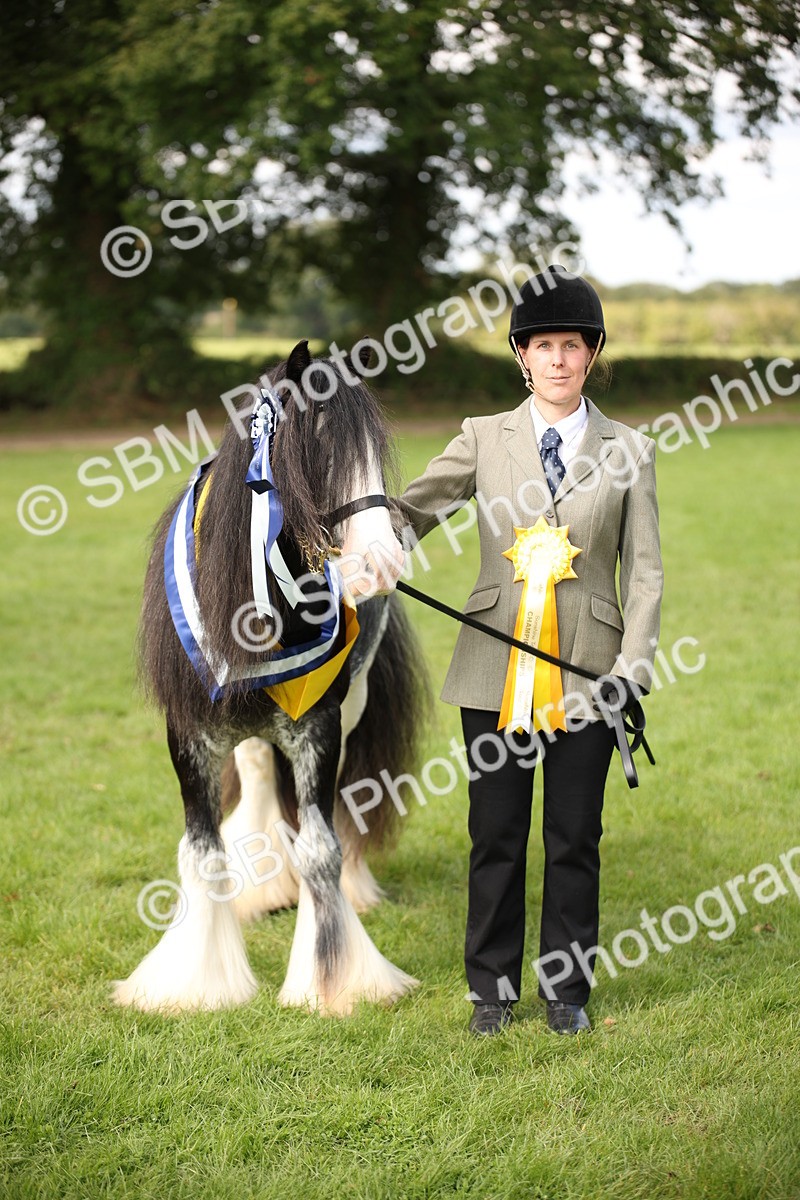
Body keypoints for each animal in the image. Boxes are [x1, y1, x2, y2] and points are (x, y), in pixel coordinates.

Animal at [113, 339, 428, 1015]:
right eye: (320, 447)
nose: (382, 563)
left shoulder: (319, 727)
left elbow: (320, 848)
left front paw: (337, 981)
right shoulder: (189, 737)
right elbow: (202, 852)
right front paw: (195, 984)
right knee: (259, 776)